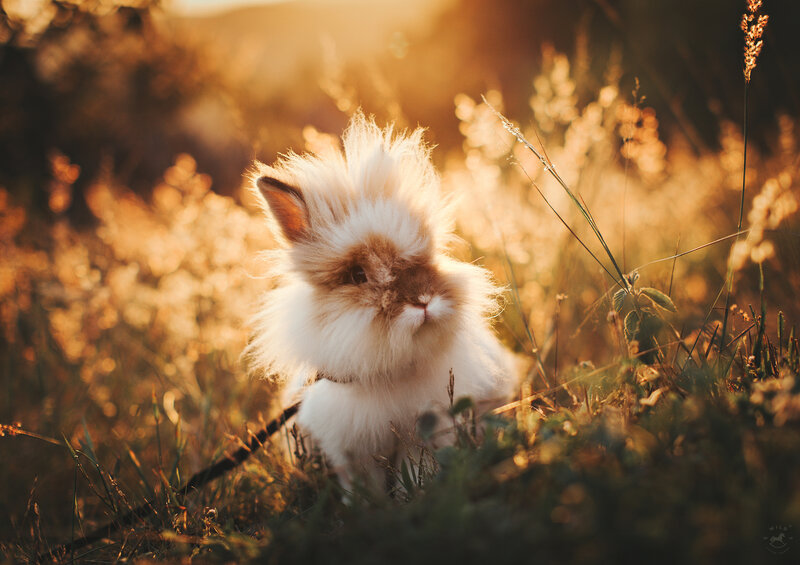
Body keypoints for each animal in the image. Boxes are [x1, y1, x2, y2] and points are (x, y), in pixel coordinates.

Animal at [246, 112, 516, 490]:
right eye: (358, 275)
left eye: (426, 257)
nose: (423, 300)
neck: (389, 367)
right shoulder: (350, 448)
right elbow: (363, 485)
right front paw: (368, 503)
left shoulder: (424, 433)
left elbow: (415, 472)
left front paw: (411, 497)